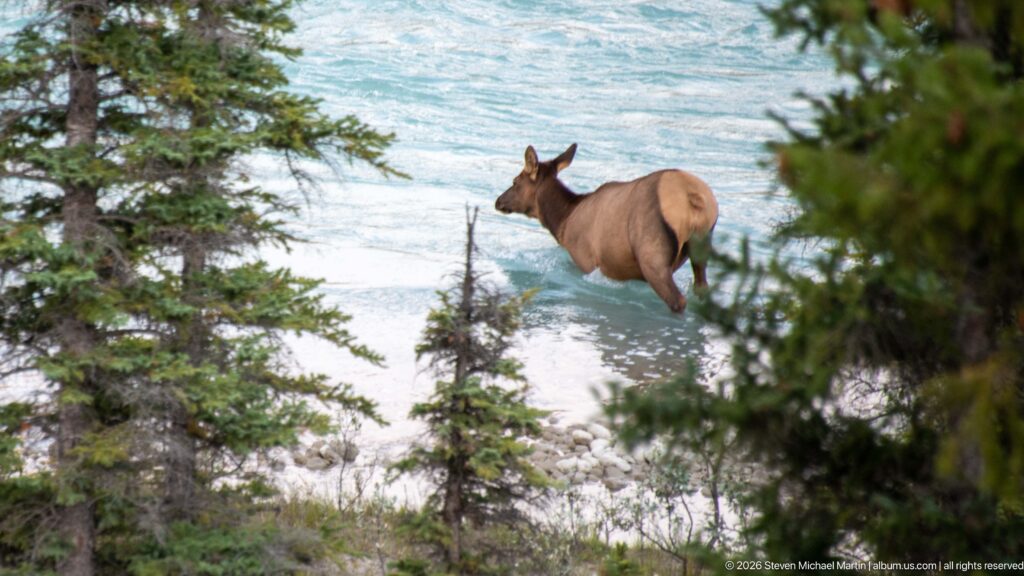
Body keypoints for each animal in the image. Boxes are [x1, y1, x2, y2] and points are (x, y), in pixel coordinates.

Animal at [495, 144, 718, 313]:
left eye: (515, 181)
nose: (498, 201)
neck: (563, 222)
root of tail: (694, 199)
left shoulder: (585, 260)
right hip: (702, 245)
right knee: (702, 289)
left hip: (652, 254)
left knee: (678, 300)